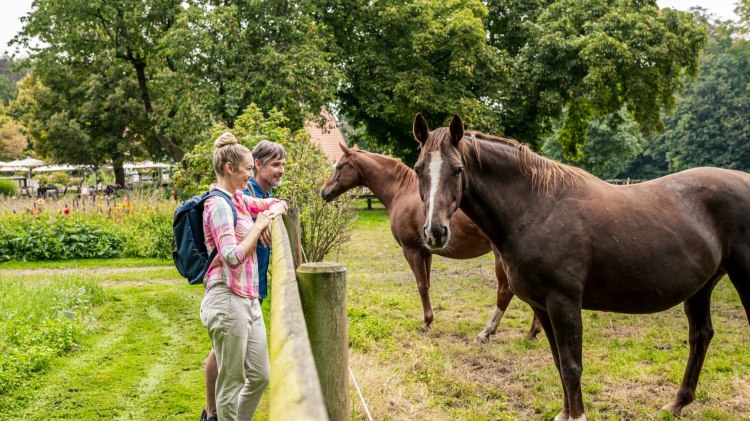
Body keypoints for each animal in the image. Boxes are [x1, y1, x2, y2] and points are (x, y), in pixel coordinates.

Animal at [322, 142, 540, 342]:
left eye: (339, 166)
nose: (324, 192)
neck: (402, 192)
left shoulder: (412, 250)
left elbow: (421, 286)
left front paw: (426, 322)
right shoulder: (426, 252)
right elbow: (427, 284)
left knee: (505, 291)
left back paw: (488, 332)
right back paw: (533, 331)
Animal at [414, 113, 750, 418]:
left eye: (458, 169)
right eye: (418, 169)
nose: (435, 232)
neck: (536, 208)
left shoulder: (563, 302)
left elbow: (572, 365)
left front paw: (576, 414)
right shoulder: (542, 305)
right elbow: (559, 362)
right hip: (701, 288)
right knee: (700, 337)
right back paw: (677, 403)